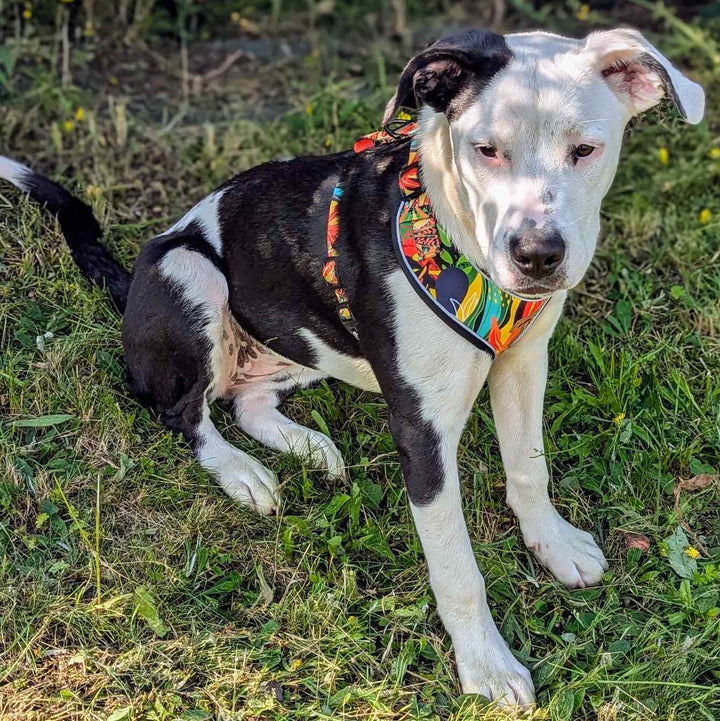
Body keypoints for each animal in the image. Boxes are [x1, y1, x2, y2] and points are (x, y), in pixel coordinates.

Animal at [1, 26, 704, 704]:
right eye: (486, 150)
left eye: (585, 150)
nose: (537, 255)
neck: (460, 246)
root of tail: (133, 286)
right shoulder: (421, 431)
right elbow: (456, 566)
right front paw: (486, 665)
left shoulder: (526, 362)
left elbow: (530, 468)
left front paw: (552, 543)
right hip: (190, 273)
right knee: (185, 412)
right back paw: (241, 472)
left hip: (309, 338)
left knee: (247, 400)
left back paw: (308, 447)